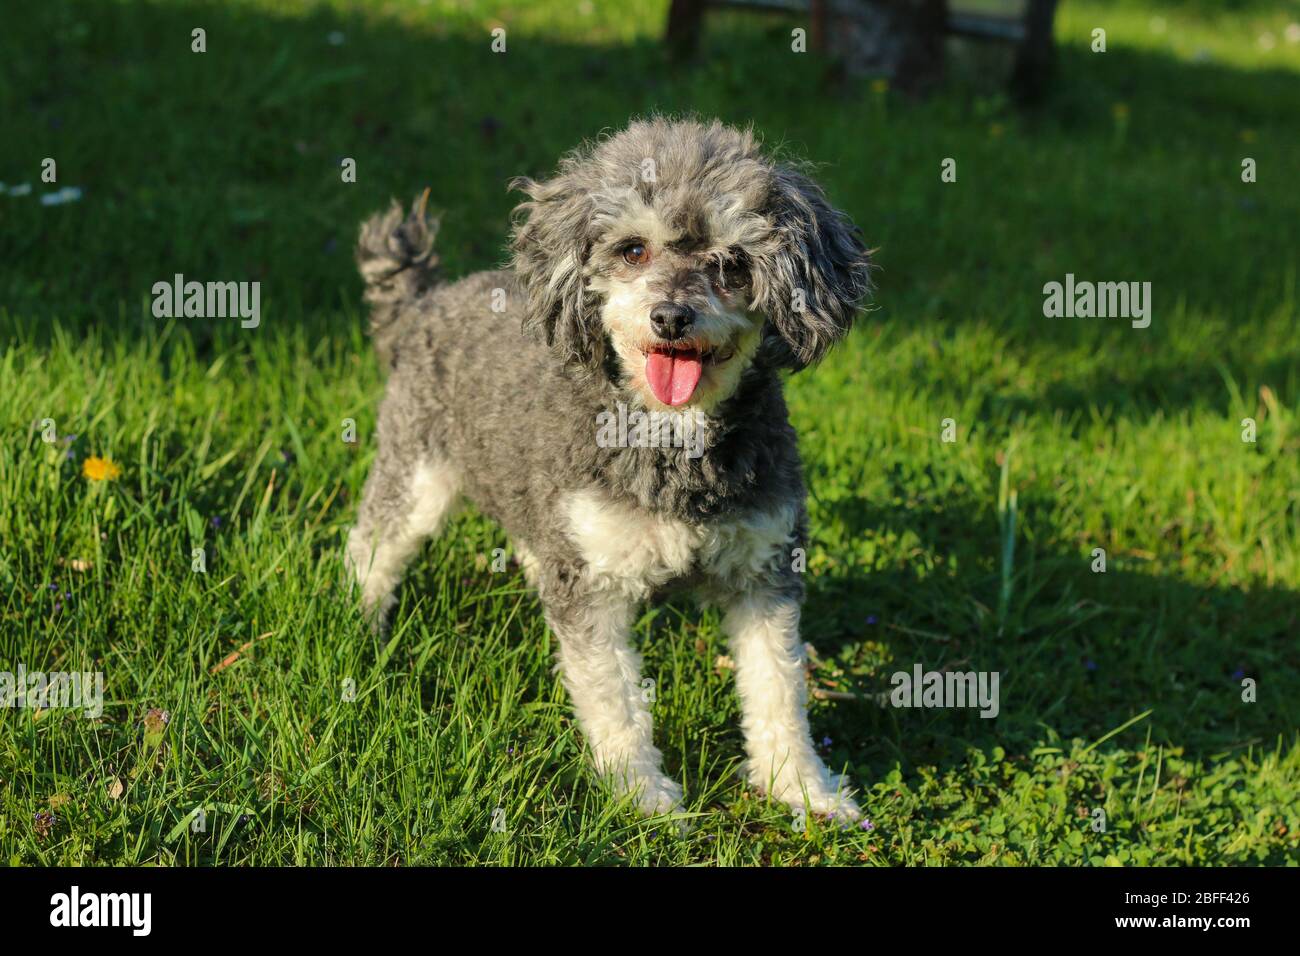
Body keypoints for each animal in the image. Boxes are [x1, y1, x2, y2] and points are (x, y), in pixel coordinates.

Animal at [345, 117, 873, 822]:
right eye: (633, 251)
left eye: (733, 263)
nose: (671, 317)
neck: (672, 441)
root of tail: (425, 303)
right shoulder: (591, 588)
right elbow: (614, 697)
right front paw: (642, 796)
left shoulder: (765, 569)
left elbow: (779, 688)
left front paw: (804, 789)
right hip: (417, 474)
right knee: (371, 545)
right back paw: (358, 622)